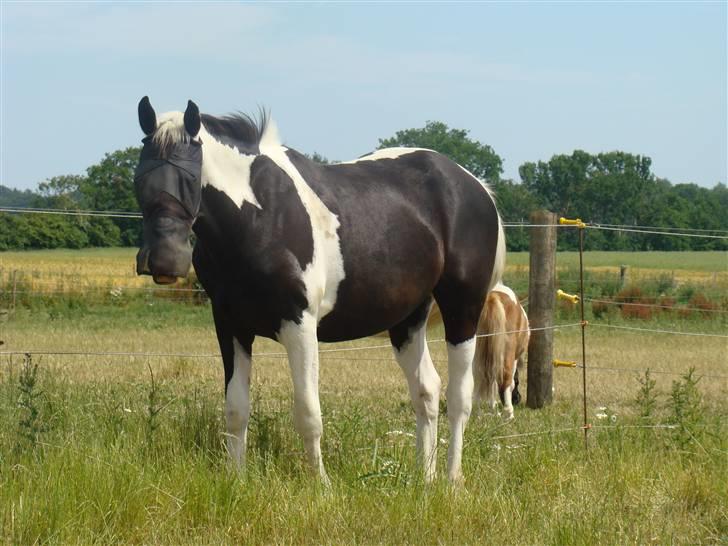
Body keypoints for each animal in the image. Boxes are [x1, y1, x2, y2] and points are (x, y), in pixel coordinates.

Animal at [134, 98, 504, 480]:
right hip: (408, 318)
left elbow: (308, 412)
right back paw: (425, 478)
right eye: (140, 178)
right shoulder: (231, 326)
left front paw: (320, 483)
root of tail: (476, 186)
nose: (163, 263)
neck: (259, 218)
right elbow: (236, 409)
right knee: (426, 390)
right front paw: (236, 478)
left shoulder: (300, 325)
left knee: (460, 398)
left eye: (191, 177)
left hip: (463, 308)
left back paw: (452, 478)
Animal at [472, 282, 528, 418]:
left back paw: (478, 414)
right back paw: (509, 413)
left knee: (479, 375)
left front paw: (493, 407)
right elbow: (511, 381)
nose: (517, 399)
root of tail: (492, 296)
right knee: (505, 375)